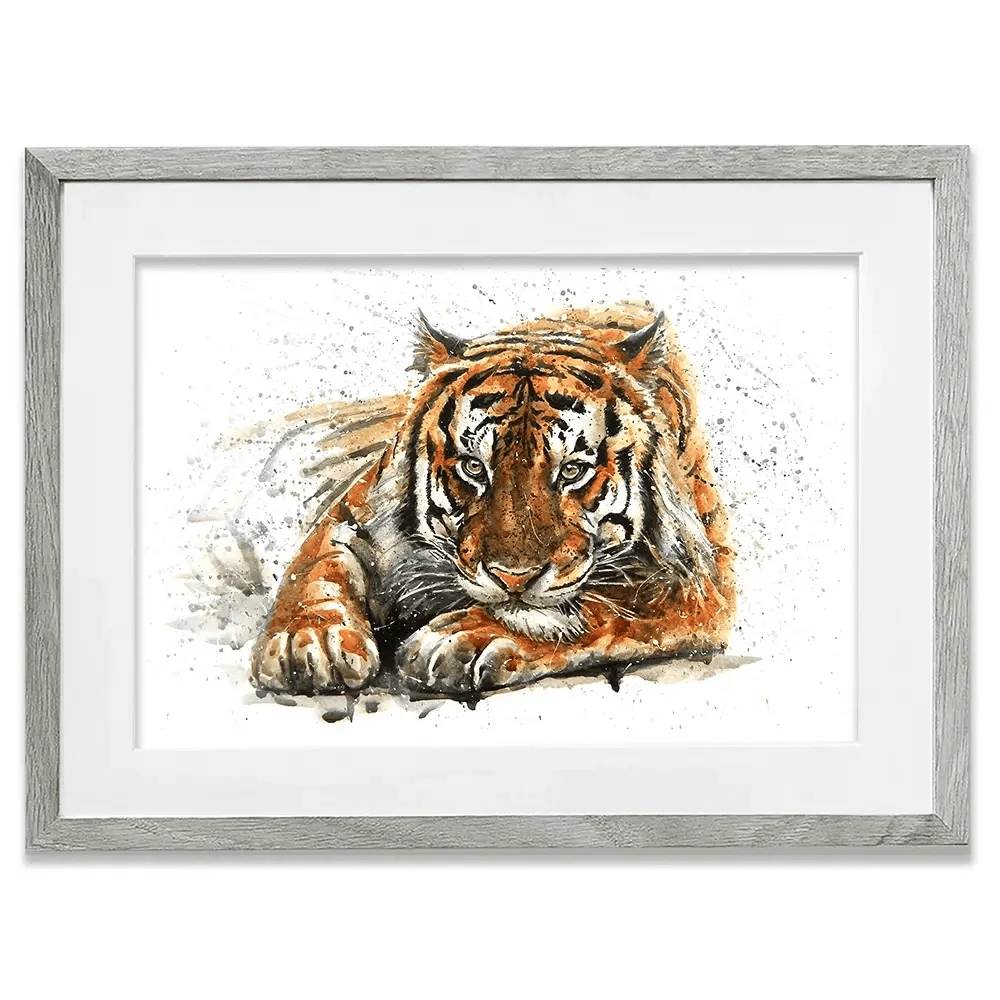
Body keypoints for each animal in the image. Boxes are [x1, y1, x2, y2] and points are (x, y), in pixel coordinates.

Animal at [250, 301, 736, 699]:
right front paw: (309, 641)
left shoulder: (698, 579)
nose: (513, 578)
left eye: (572, 471)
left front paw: (465, 638)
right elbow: (316, 568)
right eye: (473, 468)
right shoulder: (355, 511)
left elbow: (603, 605)